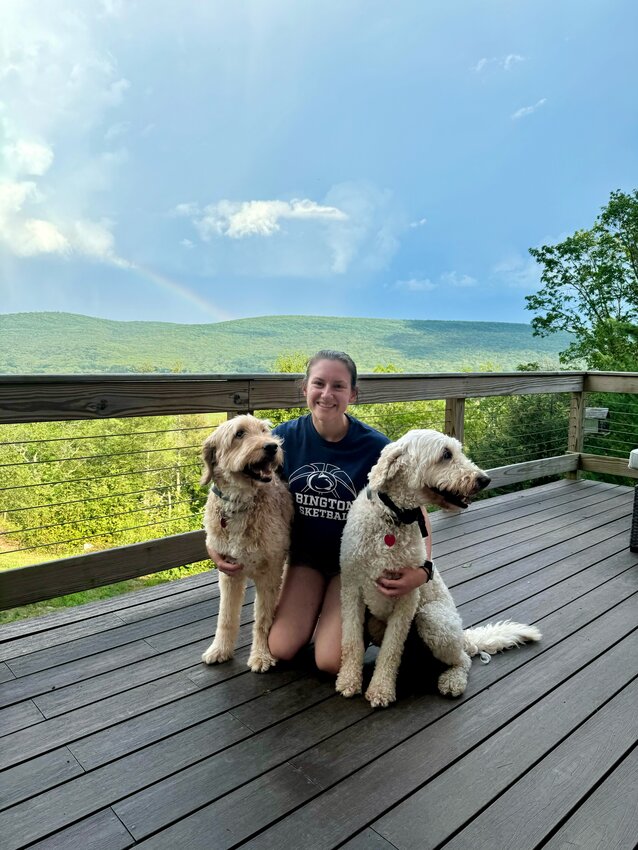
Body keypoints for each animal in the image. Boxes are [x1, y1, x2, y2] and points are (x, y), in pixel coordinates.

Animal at [200, 414, 296, 672]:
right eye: (239, 434)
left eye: (264, 431)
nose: (272, 447)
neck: (240, 504)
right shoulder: (229, 570)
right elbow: (225, 616)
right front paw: (220, 649)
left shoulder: (270, 572)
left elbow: (263, 619)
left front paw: (261, 655)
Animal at [338, 428, 544, 704]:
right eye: (446, 454)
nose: (485, 479)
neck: (393, 518)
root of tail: (463, 636)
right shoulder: (351, 589)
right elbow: (351, 641)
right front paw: (348, 680)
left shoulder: (407, 598)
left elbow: (391, 650)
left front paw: (381, 689)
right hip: (380, 623)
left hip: (433, 619)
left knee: (464, 659)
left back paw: (452, 681)